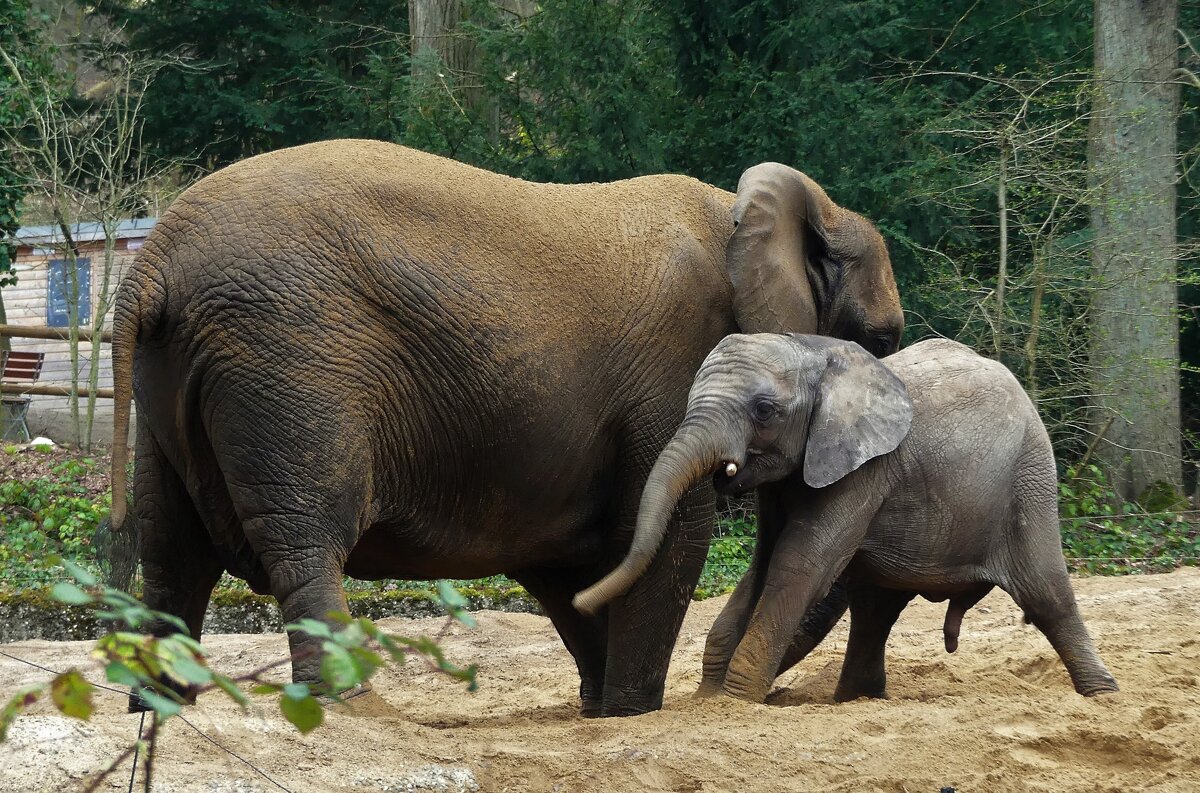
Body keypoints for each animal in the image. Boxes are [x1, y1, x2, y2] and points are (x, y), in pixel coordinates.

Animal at [110, 139, 902, 715]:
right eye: (883, 339)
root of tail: (152, 264)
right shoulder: (677, 361)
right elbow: (671, 534)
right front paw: (630, 713)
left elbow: (567, 562)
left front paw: (599, 708)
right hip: (290, 363)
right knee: (302, 541)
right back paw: (349, 708)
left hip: (173, 380)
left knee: (169, 547)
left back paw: (158, 711)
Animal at [576, 331, 1118, 700]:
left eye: (765, 410)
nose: (581, 601)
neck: (817, 351)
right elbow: (762, 568)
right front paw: (711, 699)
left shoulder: (866, 470)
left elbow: (798, 564)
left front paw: (736, 699)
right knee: (876, 610)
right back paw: (856, 700)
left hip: (1028, 479)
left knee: (1046, 593)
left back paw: (1102, 694)